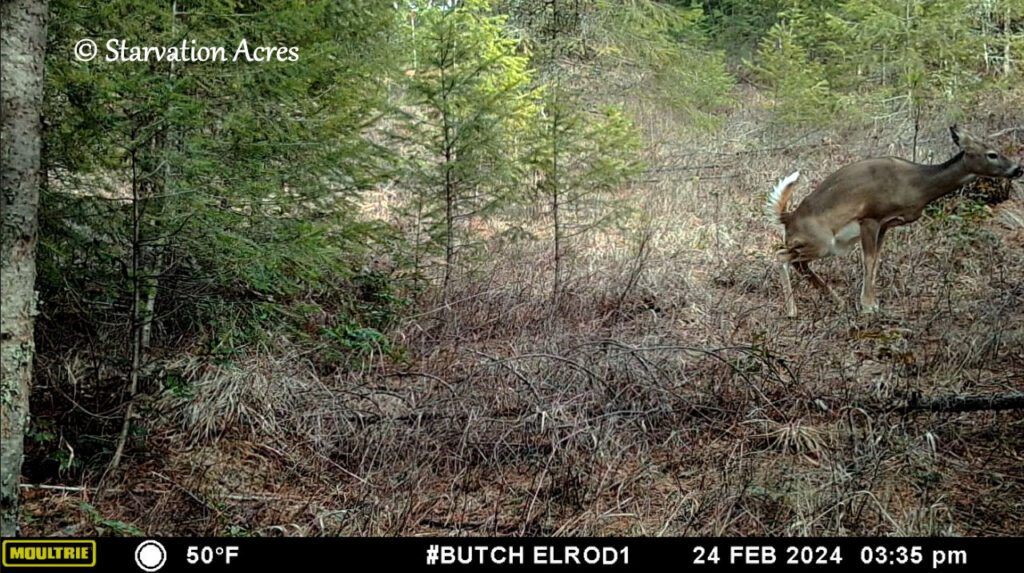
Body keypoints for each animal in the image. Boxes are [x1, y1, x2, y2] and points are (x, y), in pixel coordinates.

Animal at [770, 125, 1019, 319]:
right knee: (782, 256)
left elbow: (877, 259)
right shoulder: (870, 217)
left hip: (823, 245)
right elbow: (869, 260)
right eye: (992, 154)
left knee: (799, 263)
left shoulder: (885, 224)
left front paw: (872, 302)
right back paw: (792, 311)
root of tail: (787, 217)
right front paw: (868, 306)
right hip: (822, 243)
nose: (1018, 168)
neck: (917, 184)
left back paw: (836, 301)